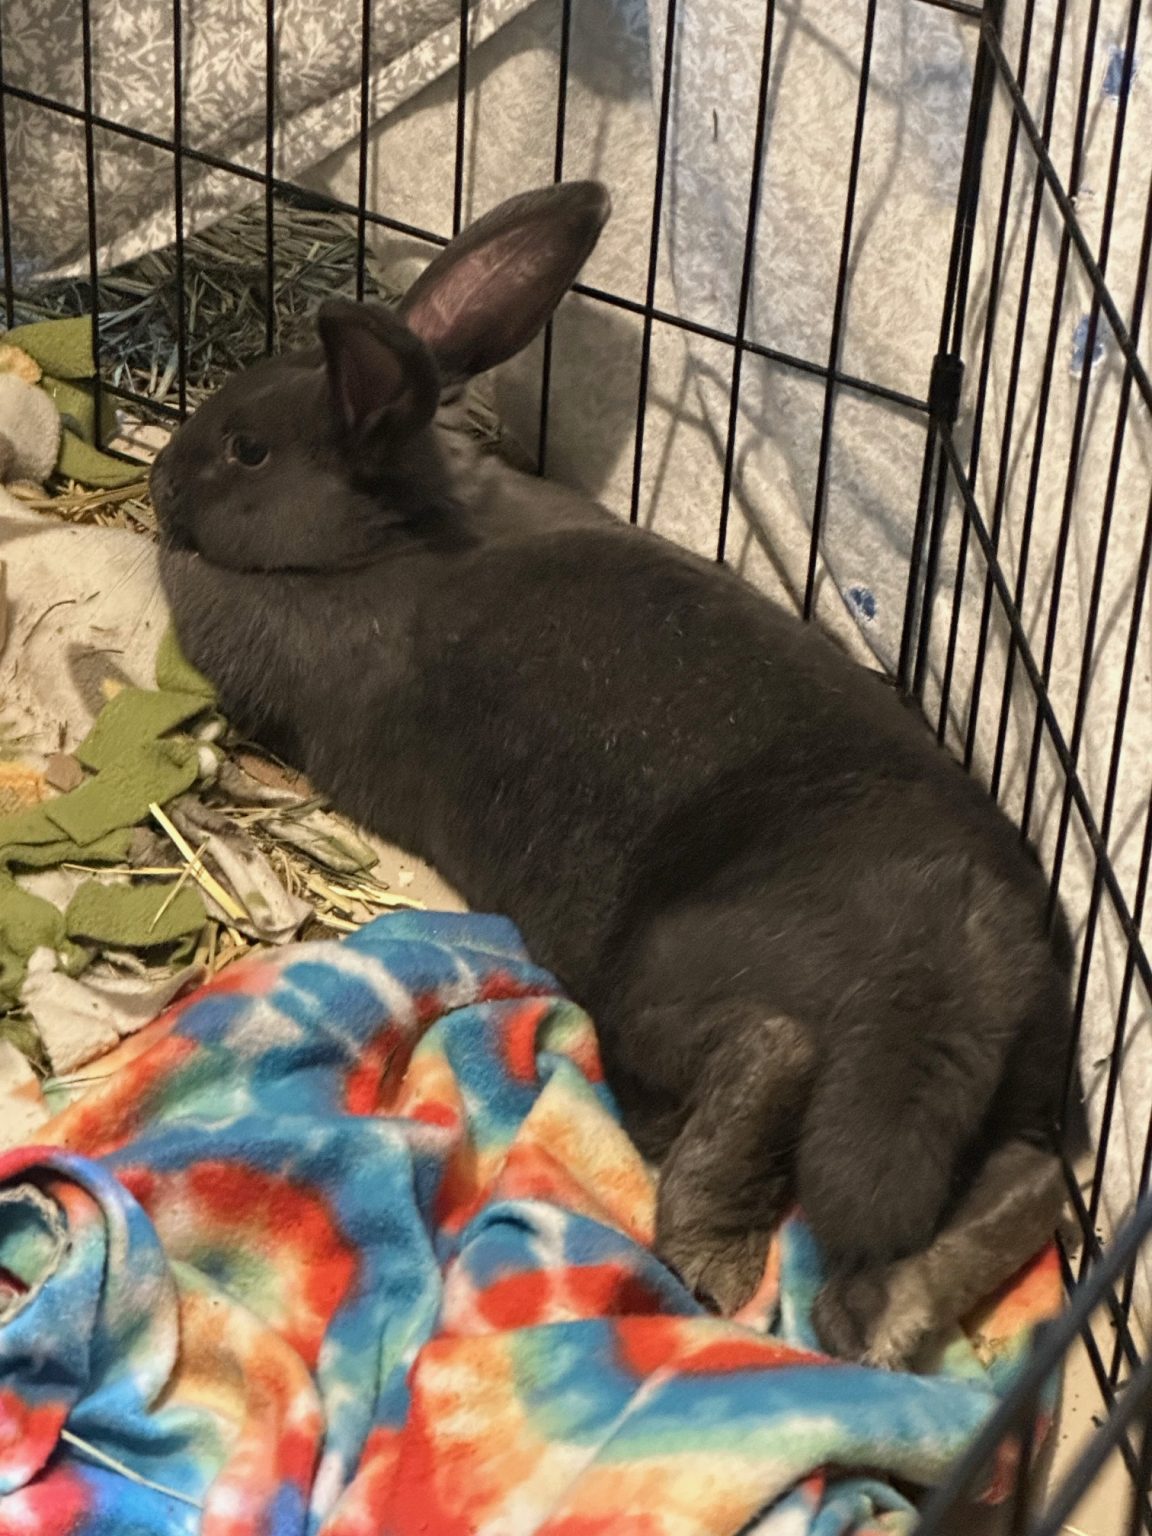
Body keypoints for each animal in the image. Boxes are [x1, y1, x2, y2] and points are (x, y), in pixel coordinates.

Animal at [152, 181, 1076, 1366]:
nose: (163, 476)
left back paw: (710, 1258)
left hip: (656, 979)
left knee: (764, 1054)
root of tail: (947, 967)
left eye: (248, 449)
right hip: (1008, 1096)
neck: (395, 536)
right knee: (1018, 1182)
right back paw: (891, 1315)